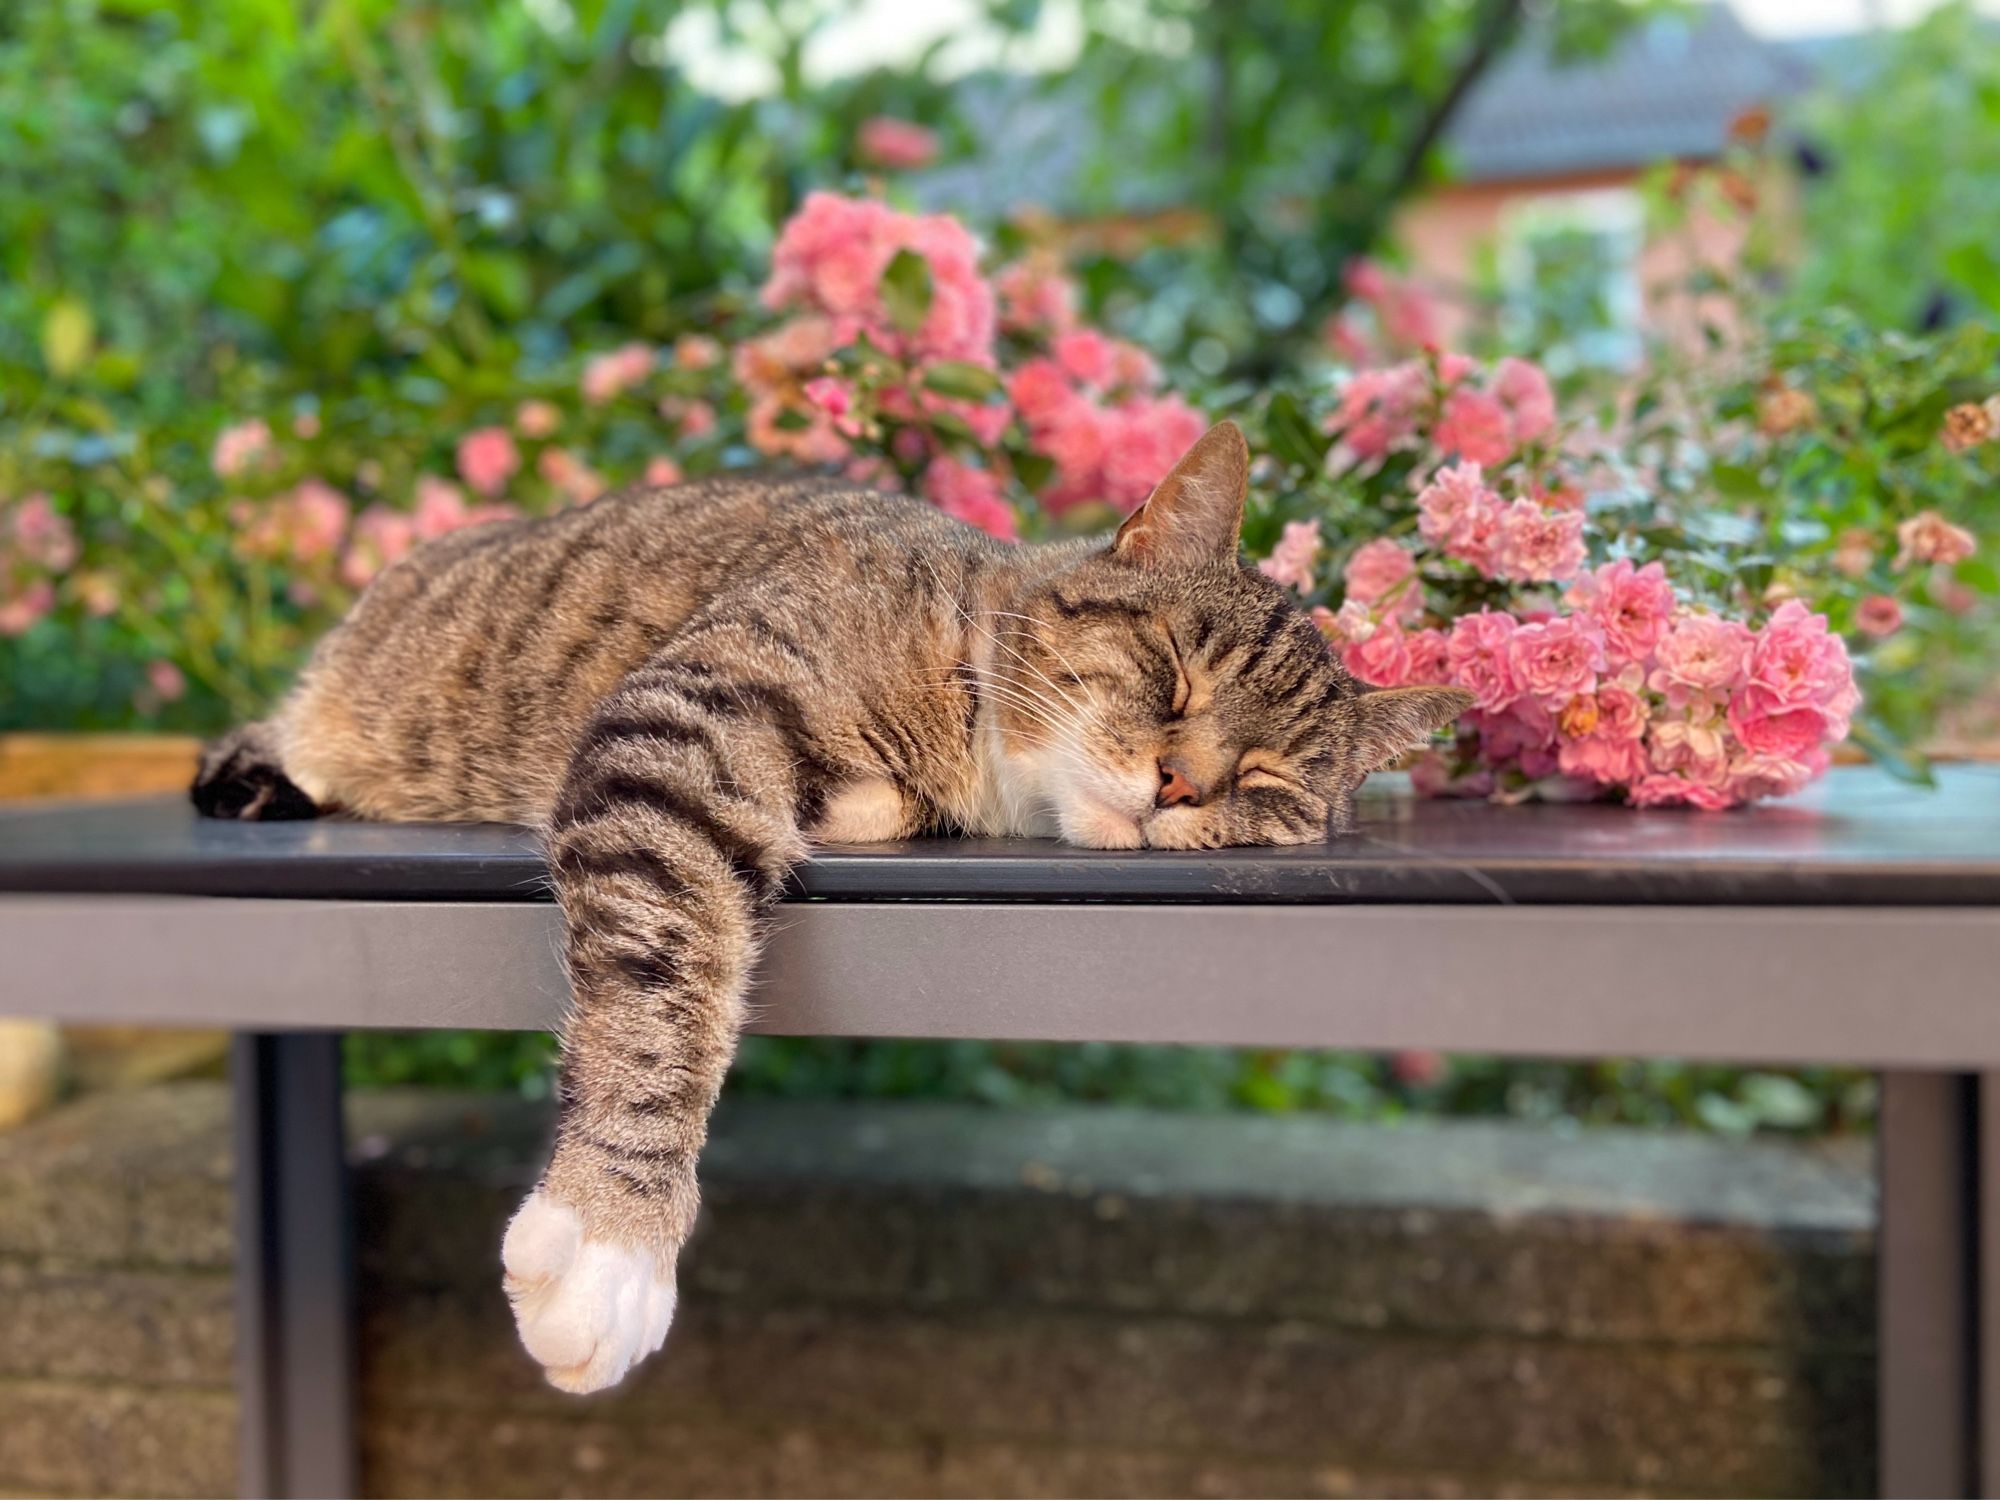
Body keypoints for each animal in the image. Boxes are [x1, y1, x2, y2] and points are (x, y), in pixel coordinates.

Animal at [191, 414, 1472, 1400]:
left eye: (1265, 781)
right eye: (1170, 672)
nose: (1177, 786)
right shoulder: (685, 723)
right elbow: (665, 986)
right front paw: (615, 1233)